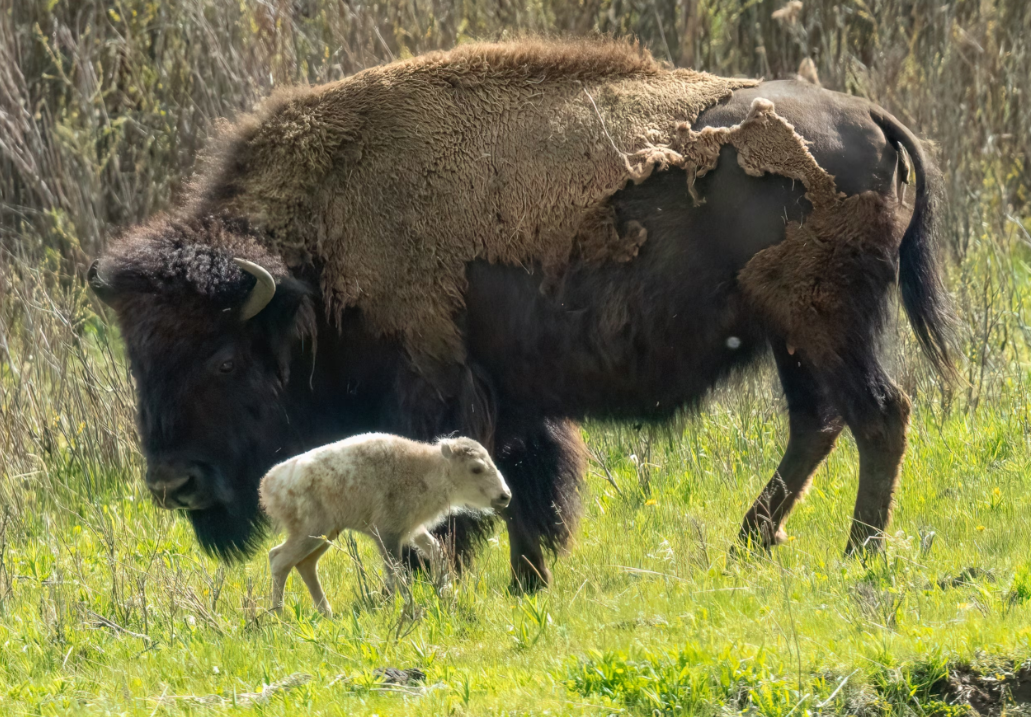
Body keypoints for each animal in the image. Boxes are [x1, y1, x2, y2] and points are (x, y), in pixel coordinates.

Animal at [88, 36, 948, 590]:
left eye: (224, 356)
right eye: (138, 358)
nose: (172, 482)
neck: (312, 258)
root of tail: (868, 116)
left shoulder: (439, 387)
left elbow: (455, 491)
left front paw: (432, 582)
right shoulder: (517, 399)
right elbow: (531, 487)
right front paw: (525, 583)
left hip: (823, 323)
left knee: (877, 413)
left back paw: (856, 553)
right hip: (792, 336)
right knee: (818, 423)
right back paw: (748, 546)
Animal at [259, 431, 509, 618]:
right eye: (476, 468)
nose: (505, 496)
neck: (426, 469)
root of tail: (268, 485)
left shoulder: (412, 529)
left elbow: (436, 551)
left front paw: (444, 590)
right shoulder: (388, 535)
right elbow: (397, 572)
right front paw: (409, 606)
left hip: (326, 534)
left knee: (305, 564)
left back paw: (326, 613)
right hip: (310, 533)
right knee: (279, 559)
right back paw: (278, 615)